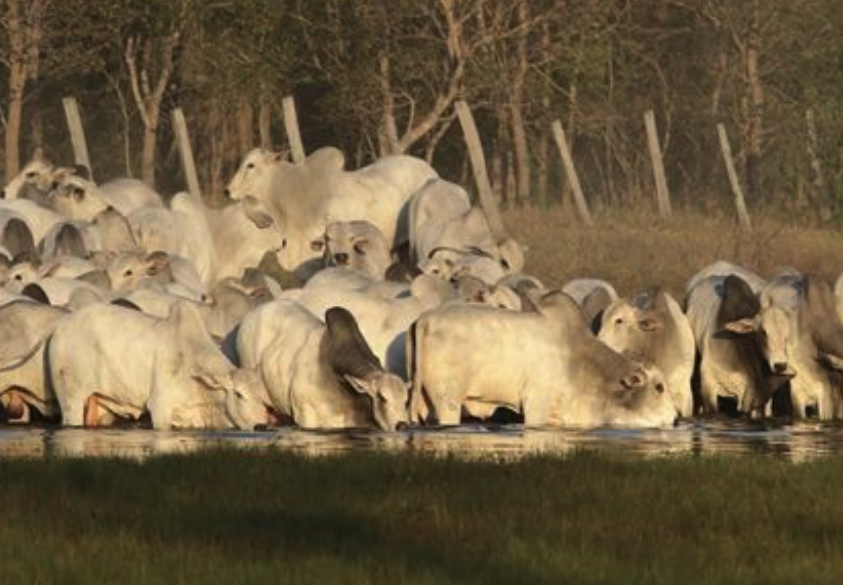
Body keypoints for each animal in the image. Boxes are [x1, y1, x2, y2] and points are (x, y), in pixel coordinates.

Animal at [48, 302, 274, 428]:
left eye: (264, 396)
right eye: (239, 394)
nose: (261, 426)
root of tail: (59, 329)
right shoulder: (159, 407)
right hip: (71, 400)